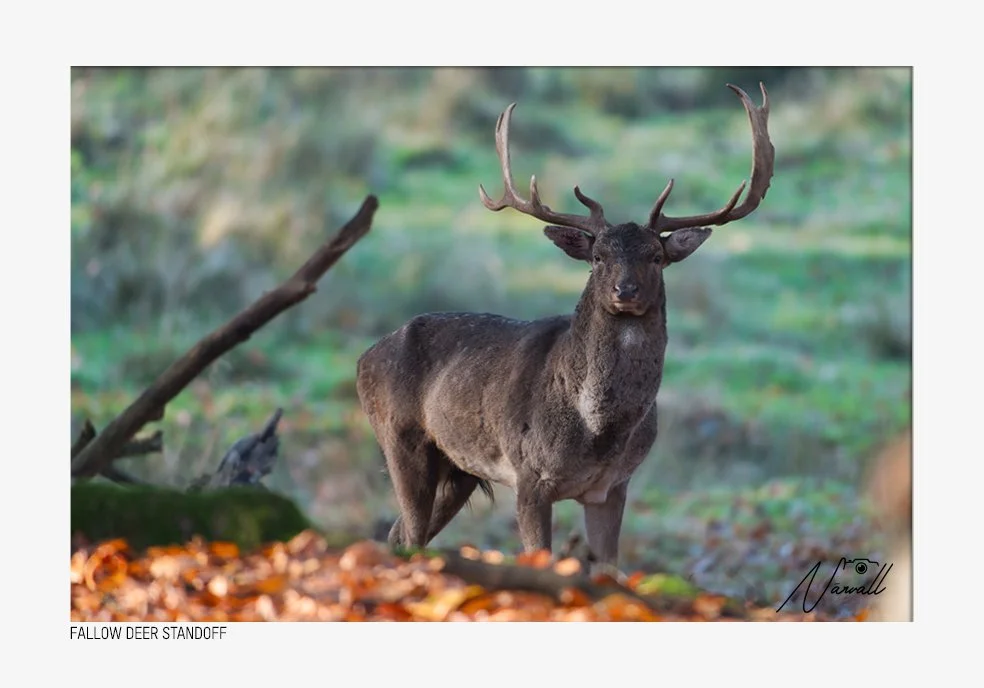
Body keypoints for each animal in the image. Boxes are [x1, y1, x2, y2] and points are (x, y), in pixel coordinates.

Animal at [356, 83, 774, 565]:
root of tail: (363, 358)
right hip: (399, 439)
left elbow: (610, 566)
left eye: (656, 256)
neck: (597, 431)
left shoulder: (614, 486)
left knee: (401, 532)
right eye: (598, 257)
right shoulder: (529, 474)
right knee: (408, 533)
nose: (625, 291)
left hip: (459, 469)